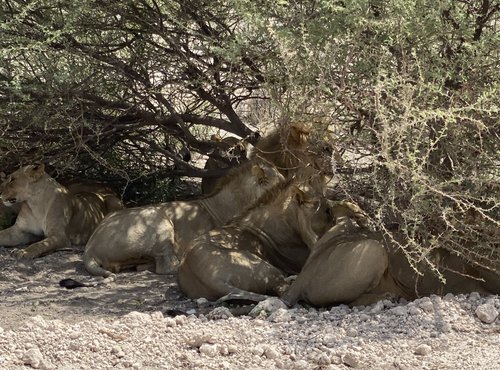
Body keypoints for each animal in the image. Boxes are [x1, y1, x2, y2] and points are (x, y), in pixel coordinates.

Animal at [282, 202, 500, 306]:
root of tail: (302, 276)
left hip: (339, 233)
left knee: (341, 215)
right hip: (374, 250)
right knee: (342, 303)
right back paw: (387, 297)